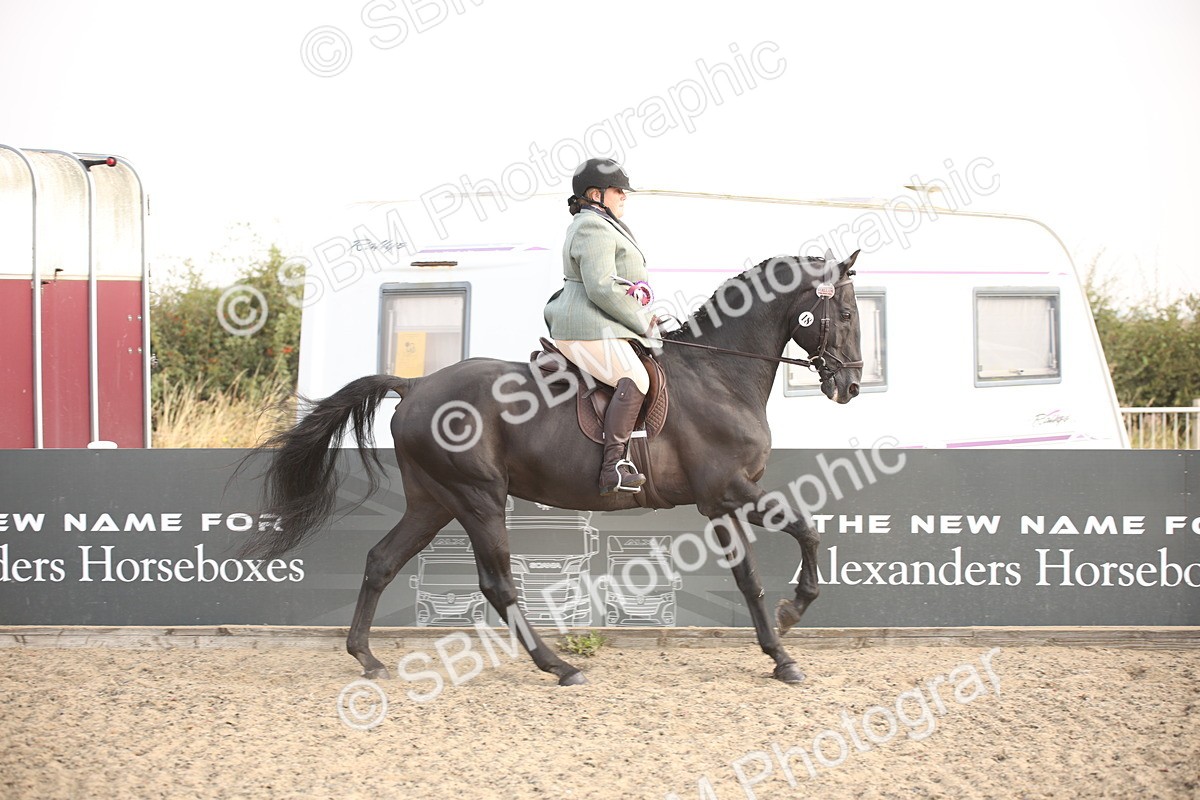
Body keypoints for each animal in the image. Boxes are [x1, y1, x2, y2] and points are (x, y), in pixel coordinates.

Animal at [239, 250, 863, 686]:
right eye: (847, 312)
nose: (850, 385)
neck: (719, 376)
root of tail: (415, 385)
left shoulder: (726, 501)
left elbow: (756, 573)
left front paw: (780, 649)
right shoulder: (727, 491)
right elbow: (800, 537)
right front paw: (790, 619)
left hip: (433, 501)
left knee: (381, 562)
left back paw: (366, 657)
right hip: (478, 498)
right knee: (497, 584)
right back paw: (559, 666)